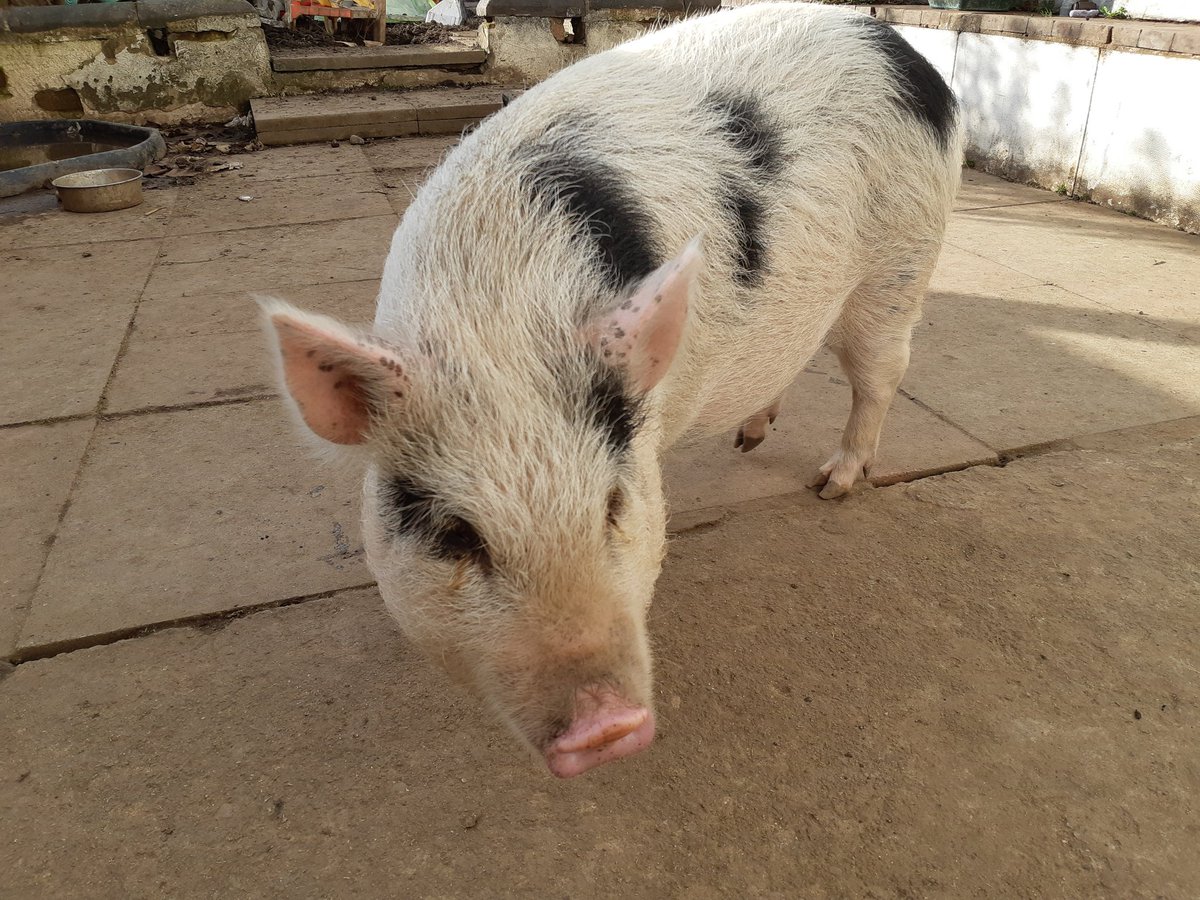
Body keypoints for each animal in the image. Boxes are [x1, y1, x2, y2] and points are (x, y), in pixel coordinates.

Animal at [261, 2, 962, 778]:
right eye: (456, 535)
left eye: (613, 505)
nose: (606, 726)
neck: (498, 328)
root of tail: (900, 46)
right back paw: (748, 439)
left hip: (902, 260)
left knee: (880, 372)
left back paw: (833, 482)